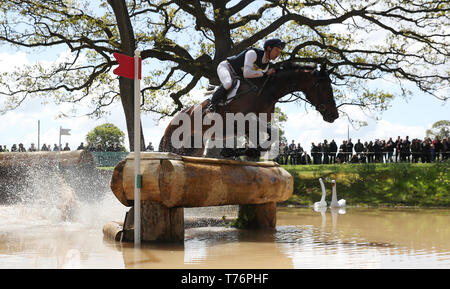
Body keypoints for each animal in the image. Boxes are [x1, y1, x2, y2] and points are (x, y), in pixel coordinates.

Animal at [158, 61, 338, 159]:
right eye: (325, 87)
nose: (333, 115)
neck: (266, 91)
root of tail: (171, 123)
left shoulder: (254, 125)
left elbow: (267, 139)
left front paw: (238, 152)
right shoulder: (243, 122)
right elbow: (268, 138)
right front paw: (233, 152)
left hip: (195, 146)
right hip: (174, 143)